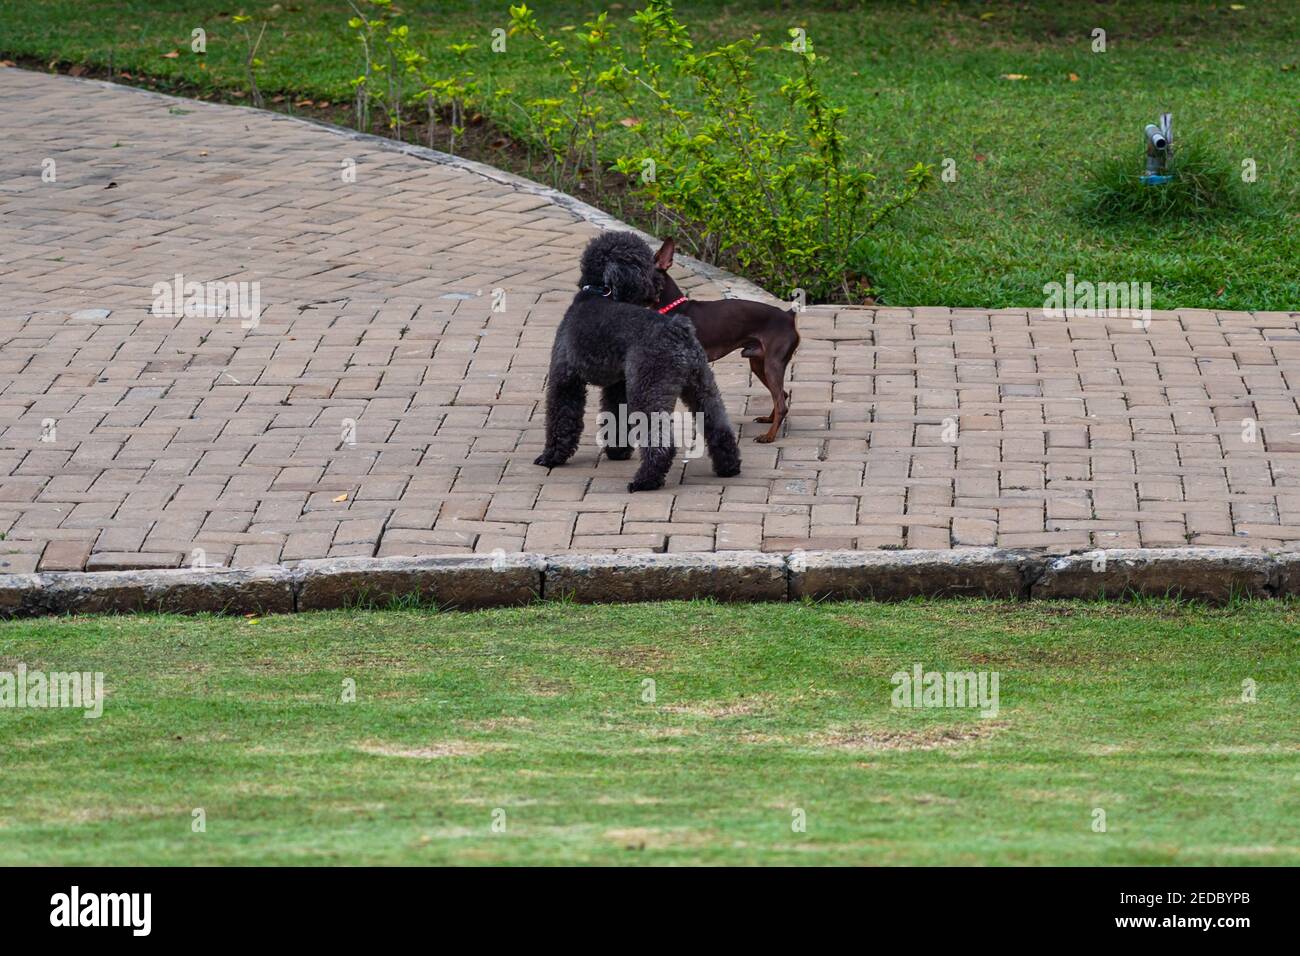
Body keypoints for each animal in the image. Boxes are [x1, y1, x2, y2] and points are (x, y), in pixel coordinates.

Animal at [655, 240, 795, 447]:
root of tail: (788, 315)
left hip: (772, 365)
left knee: (781, 404)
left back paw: (769, 436)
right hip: (758, 364)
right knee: (782, 396)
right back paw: (768, 421)